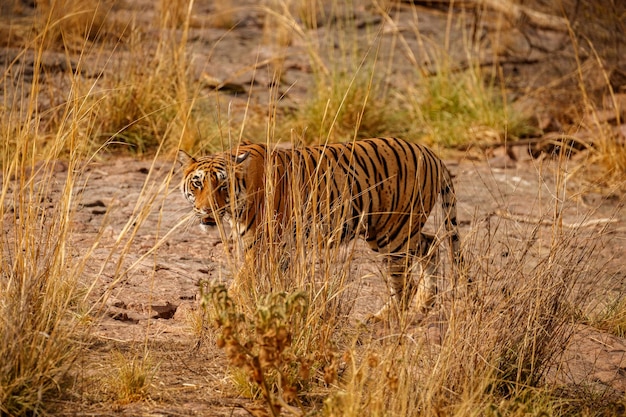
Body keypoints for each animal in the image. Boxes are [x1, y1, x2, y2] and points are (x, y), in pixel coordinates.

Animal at [178, 136, 460, 318]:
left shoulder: (259, 245)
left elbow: (241, 281)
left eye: (223, 186)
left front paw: (219, 309)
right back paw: (422, 306)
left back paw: (383, 319)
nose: (207, 210)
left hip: (392, 231)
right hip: (398, 229)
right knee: (431, 244)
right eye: (197, 183)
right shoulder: (277, 246)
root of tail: (432, 153)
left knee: (405, 281)